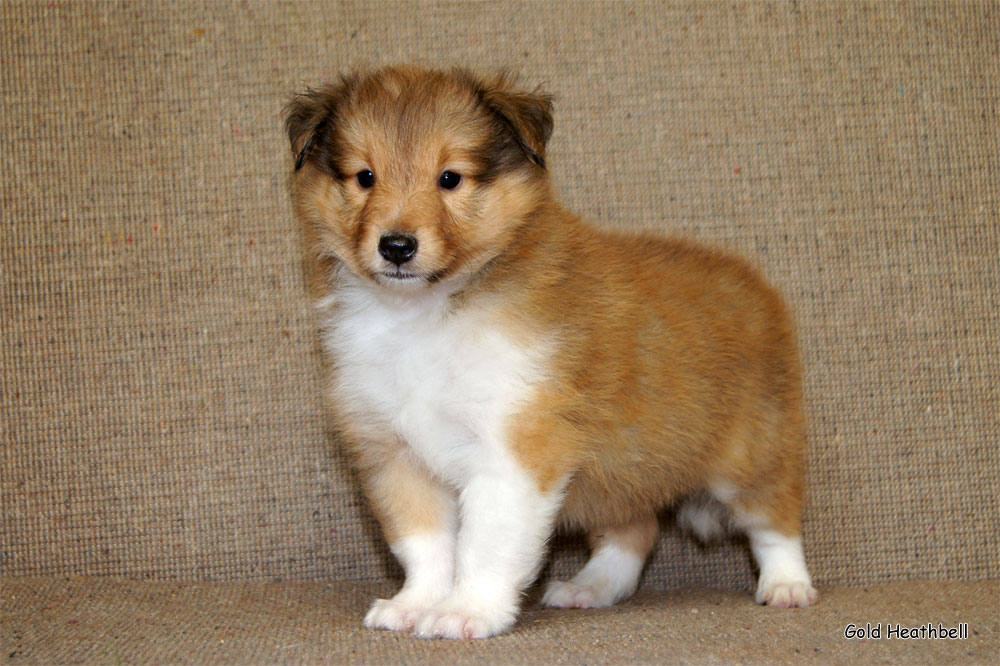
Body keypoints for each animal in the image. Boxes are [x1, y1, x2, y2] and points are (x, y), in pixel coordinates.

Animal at [286, 67, 816, 640]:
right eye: (364, 177)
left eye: (450, 178)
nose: (397, 246)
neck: (426, 313)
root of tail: (754, 282)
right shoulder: (394, 452)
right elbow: (424, 543)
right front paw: (416, 604)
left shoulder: (515, 447)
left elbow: (484, 543)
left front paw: (466, 612)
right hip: (622, 466)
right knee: (634, 530)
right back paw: (592, 588)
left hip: (751, 451)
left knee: (775, 520)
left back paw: (787, 586)